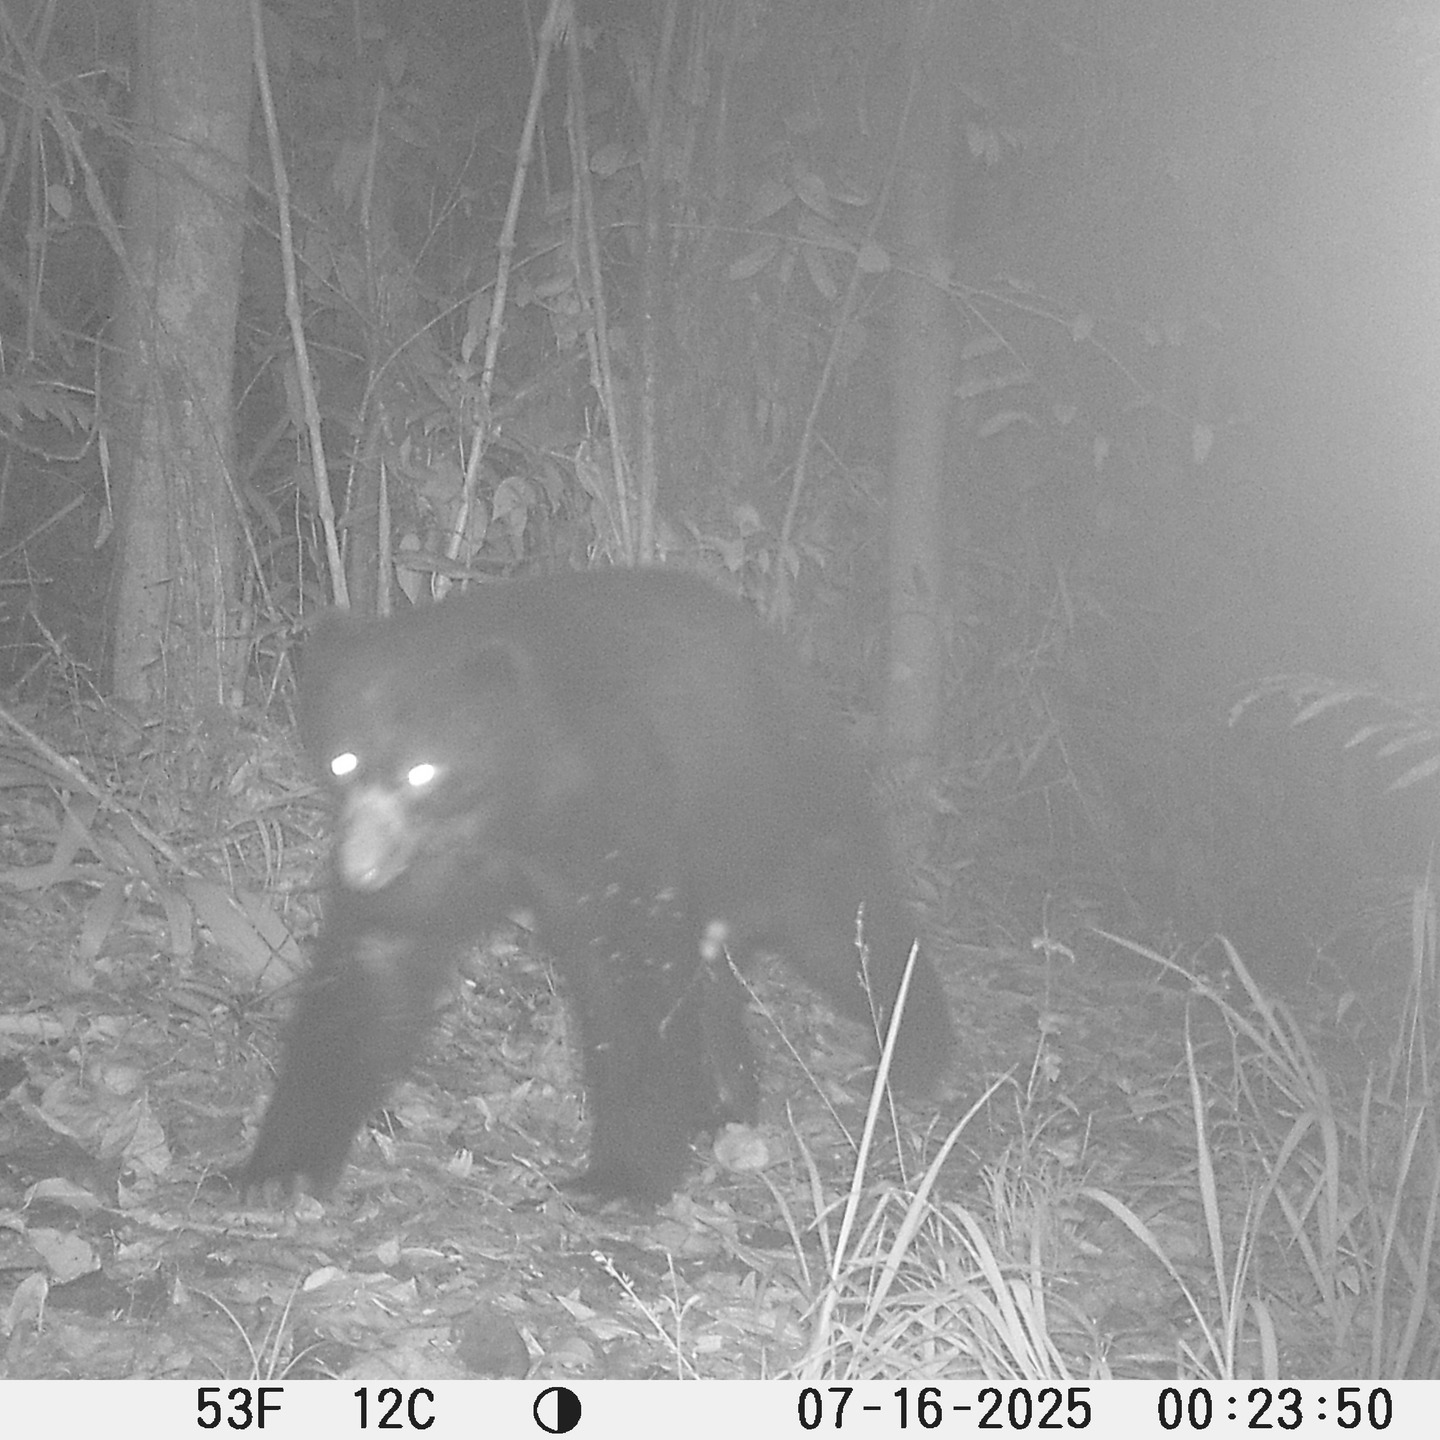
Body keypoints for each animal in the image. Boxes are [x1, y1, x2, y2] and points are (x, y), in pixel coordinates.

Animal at [241, 568, 954, 1204]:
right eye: (344, 760)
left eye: (423, 771)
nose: (359, 866)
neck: (511, 800)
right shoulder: (431, 864)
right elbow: (374, 964)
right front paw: (280, 1167)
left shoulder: (617, 801)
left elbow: (631, 974)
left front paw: (620, 1178)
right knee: (713, 971)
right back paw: (723, 1098)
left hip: (777, 812)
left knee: (844, 925)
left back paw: (918, 1056)